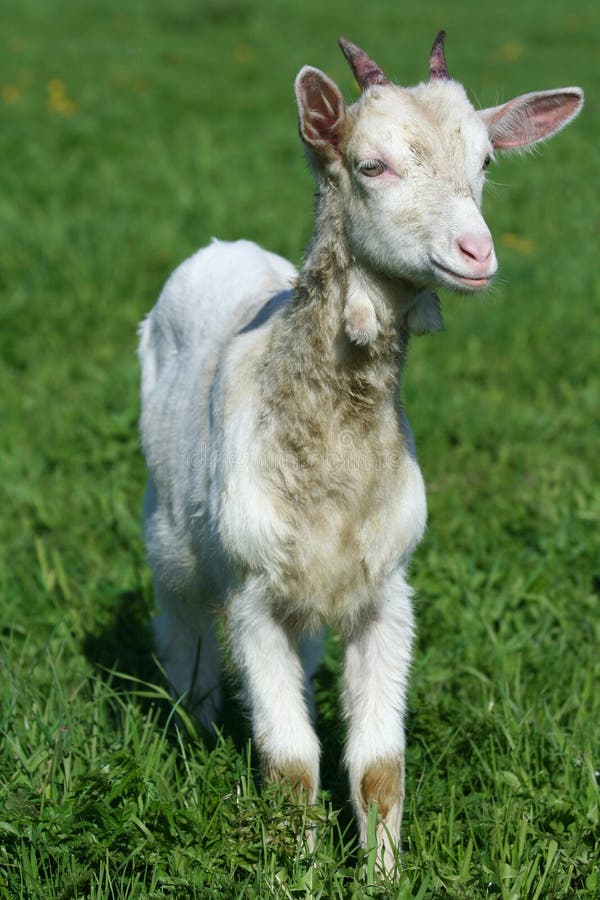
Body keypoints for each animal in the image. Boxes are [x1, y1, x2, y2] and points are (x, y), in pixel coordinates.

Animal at [139, 35, 580, 872]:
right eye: (371, 166)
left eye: (484, 161)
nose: (477, 251)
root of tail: (223, 248)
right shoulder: (252, 589)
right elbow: (290, 763)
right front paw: (298, 873)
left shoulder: (385, 587)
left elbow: (378, 764)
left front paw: (384, 873)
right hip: (169, 532)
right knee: (184, 638)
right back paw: (197, 727)